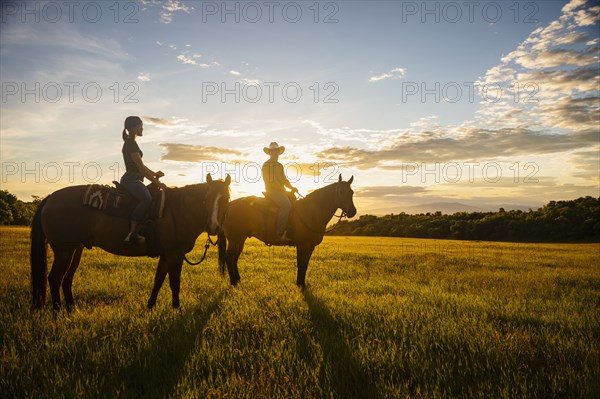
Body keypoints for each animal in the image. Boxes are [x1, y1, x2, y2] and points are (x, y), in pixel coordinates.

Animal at [29, 173, 232, 310]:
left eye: (226, 199)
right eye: (207, 199)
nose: (213, 227)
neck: (177, 209)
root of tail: (50, 198)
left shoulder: (166, 254)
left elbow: (158, 280)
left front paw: (150, 306)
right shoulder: (174, 254)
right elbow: (175, 282)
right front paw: (176, 309)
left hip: (75, 249)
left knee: (67, 279)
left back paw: (72, 309)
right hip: (64, 251)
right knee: (55, 279)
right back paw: (57, 311)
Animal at [217, 175, 354, 288]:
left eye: (352, 192)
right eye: (341, 192)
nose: (353, 211)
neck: (310, 211)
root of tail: (227, 207)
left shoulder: (310, 246)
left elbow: (305, 264)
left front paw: (301, 283)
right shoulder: (303, 244)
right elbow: (301, 263)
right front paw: (300, 284)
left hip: (240, 239)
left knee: (234, 258)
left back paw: (238, 280)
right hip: (235, 238)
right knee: (229, 257)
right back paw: (233, 282)